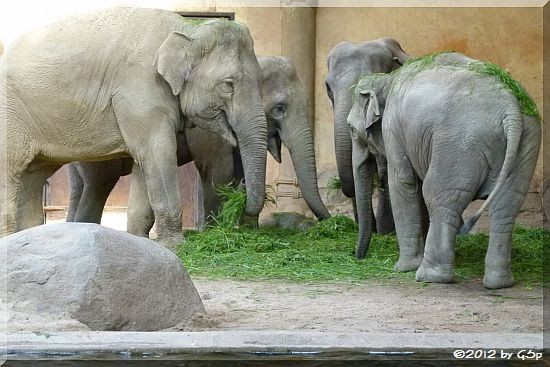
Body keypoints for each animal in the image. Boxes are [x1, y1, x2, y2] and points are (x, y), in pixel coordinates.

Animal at [0, 7, 270, 249]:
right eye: (228, 84)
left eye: (260, 81)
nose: (242, 201)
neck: (186, 30)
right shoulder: (140, 90)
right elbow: (157, 153)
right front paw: (175, 246)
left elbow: (145, 162)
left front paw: (141, 241)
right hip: (9, 115)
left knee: (34, 175)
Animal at [66, 56, 332, 236]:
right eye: (279, 109)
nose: (330, 220)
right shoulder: (209, 127)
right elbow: (219, 171)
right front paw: (216, 232)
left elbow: (239, 169)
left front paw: (247, 229)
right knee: (100, 181)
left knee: (80, 187)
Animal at [350, 51, 544, 288]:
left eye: (351, 129)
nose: (356, 256)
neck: (387, 80)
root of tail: (511, 109)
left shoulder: (393, 127)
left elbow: (403, 182)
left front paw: (402, 268)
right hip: (527, 141)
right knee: (506, 204)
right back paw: (499, 283)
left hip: (460, 143)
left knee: (440, 197)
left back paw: (429, 276)